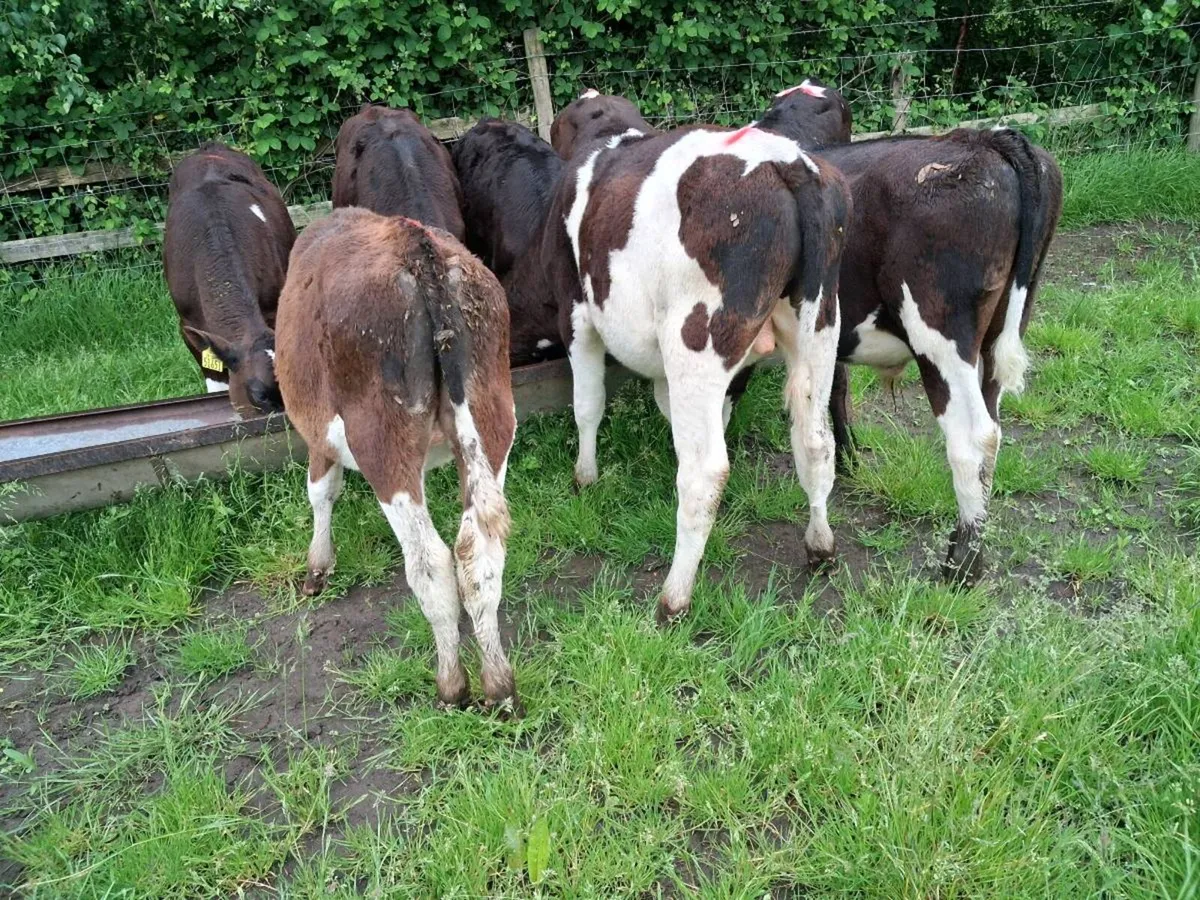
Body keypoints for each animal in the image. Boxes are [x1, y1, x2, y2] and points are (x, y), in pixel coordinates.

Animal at [274, 208, 519, 713]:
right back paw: (501, 686)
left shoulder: (317, 436)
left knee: (430, 562)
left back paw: (451, 686)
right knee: (479, 553)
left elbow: (320, 492)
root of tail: (417, 249)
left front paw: (317, 567)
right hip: (493, 415)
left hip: (381, 439)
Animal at [533, 93, 852, 623]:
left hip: (695, 340)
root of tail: (787, 163)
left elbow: (587, 404)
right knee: (814, 441)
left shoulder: (575, 314)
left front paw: (586, 476)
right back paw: (820, 545)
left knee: (706, 472)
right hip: (820, 327)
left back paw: (674, 596)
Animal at [757, 81, 1063, 585]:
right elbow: (837, 391)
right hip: (1001, 331)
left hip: (941, 337)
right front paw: (851, 460)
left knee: (973, 437)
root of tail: (985, 140)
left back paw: (963, 566)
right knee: (994, 429)